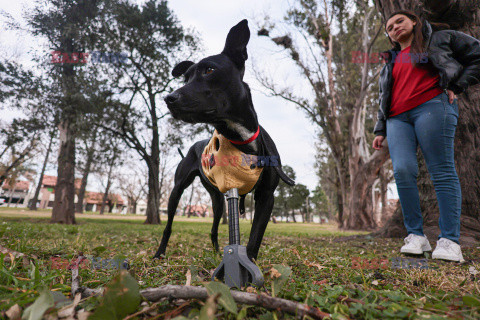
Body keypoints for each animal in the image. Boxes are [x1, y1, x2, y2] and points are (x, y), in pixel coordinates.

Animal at [154, 19, 294, 260]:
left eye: (209, 70)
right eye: (186, 78)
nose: (169, 98)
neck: (241, 136)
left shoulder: (266, 197)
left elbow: (255, 239)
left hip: (216, 200)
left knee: (213, 229)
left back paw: (217, 252)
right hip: (176, 191)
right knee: (169, 226)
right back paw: (160, 253)